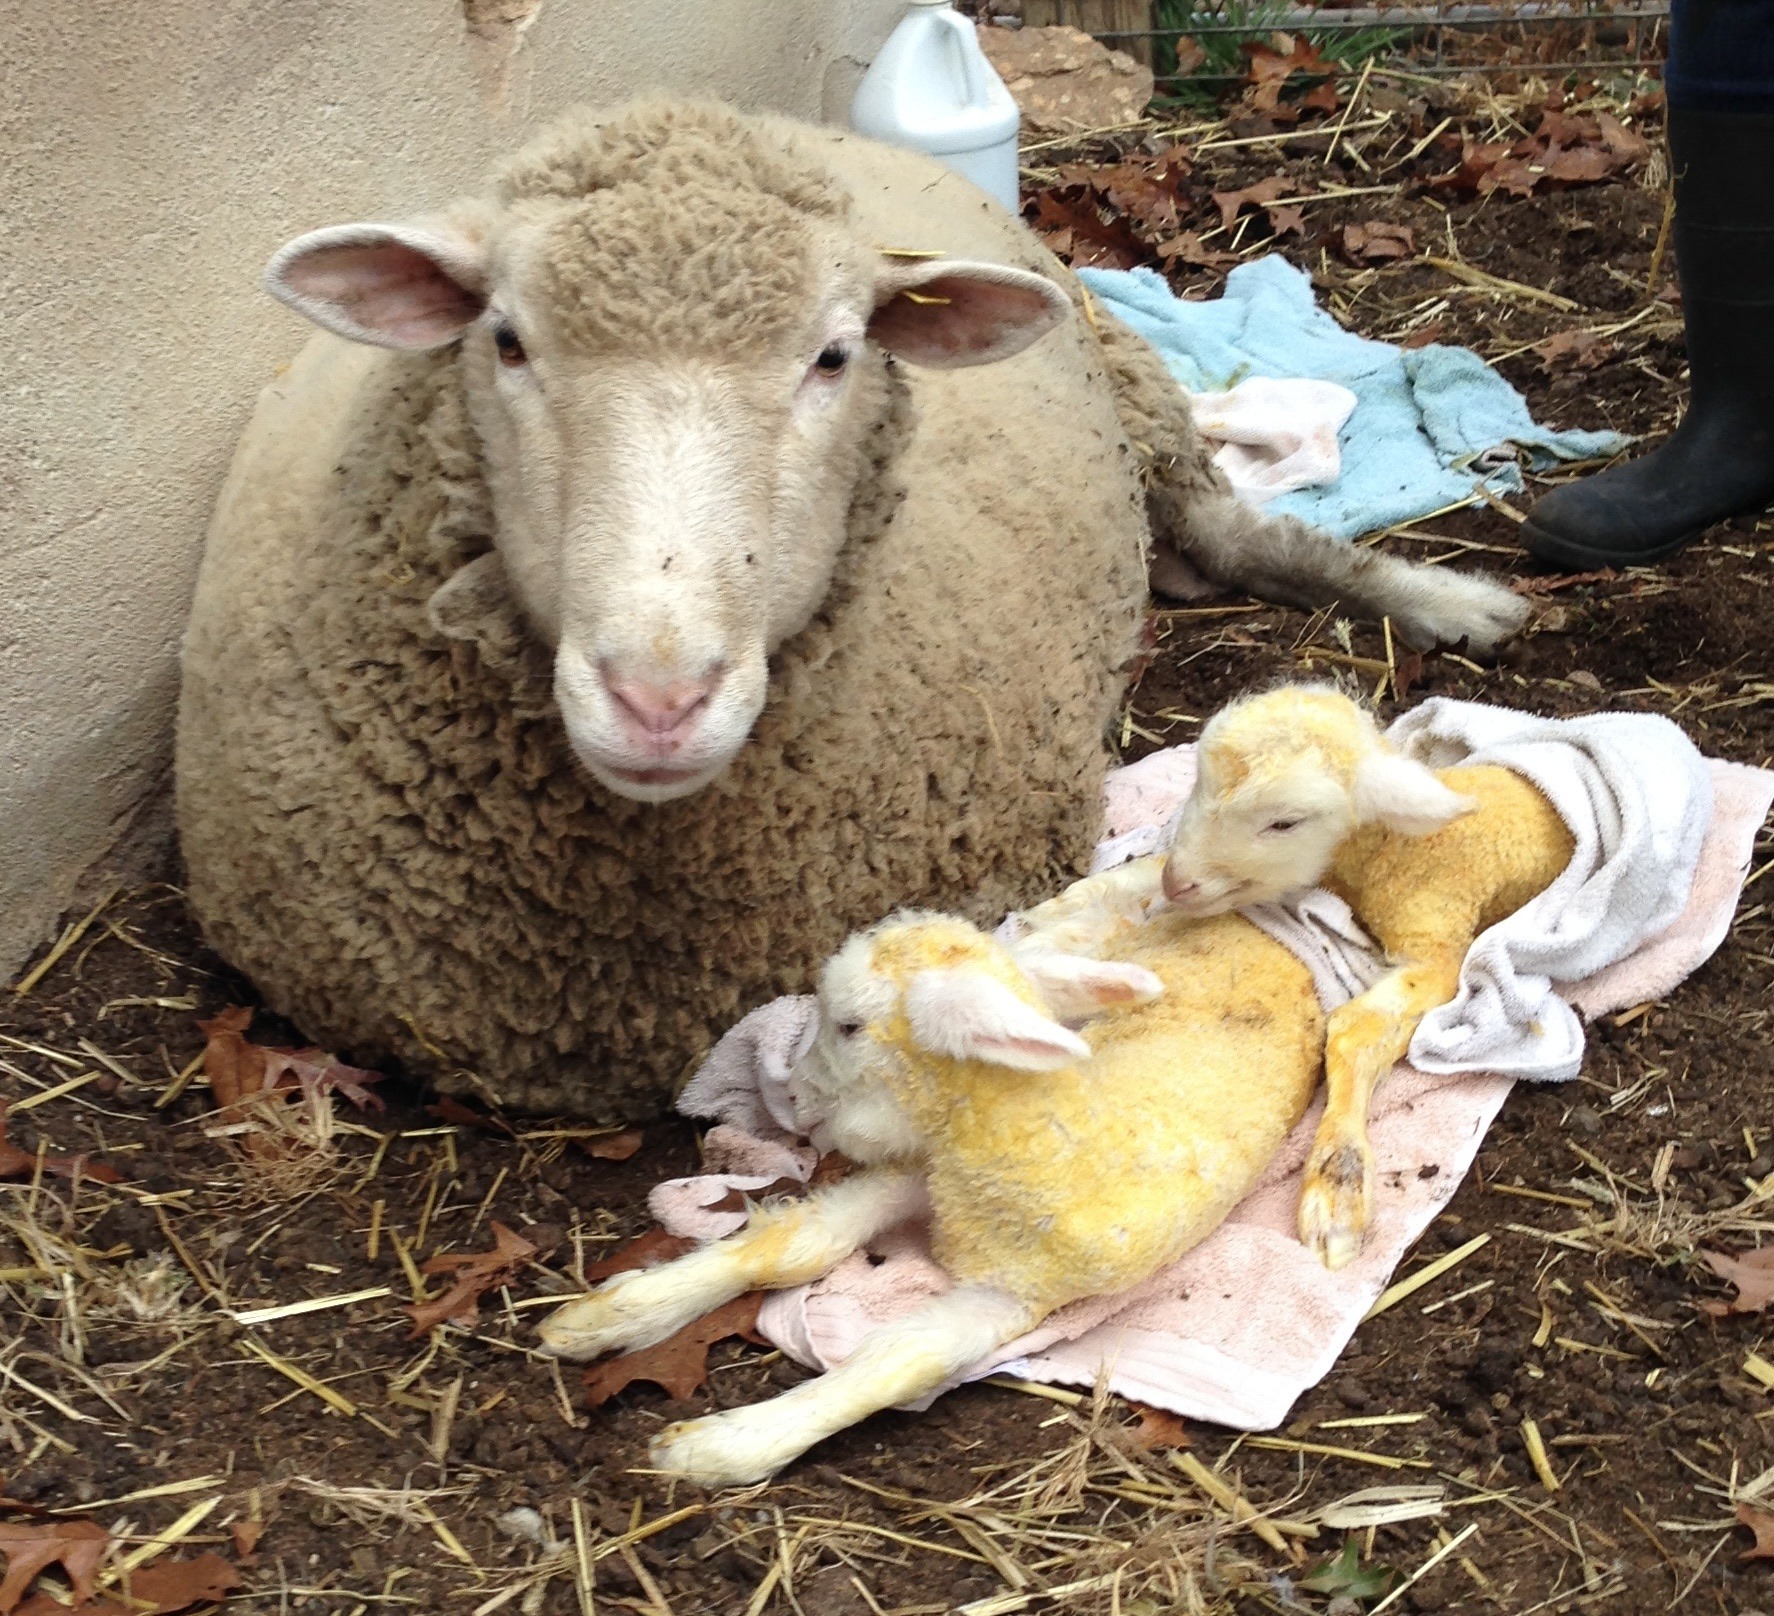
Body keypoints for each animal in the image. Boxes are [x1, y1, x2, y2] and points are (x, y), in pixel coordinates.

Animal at [177, 99, 1527, 1118]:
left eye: (832, 356)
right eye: (504, 340)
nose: (657, 699)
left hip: (1136, 395)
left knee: (1247, 532)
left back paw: (1453, 600)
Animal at [536, 903, 1324, 1486]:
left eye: (849, 1025)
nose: (793, 1096)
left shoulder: (1016, 1294)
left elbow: (896, 1363)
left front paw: (717, 1447)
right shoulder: (920, 1171)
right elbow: (797, 1244)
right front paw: (608, 1317)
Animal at [1160, 686, 1573, 1268]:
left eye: (1284, 823)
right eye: (1199, 782)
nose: (1175, 883)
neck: (1389, 848)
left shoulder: (1436, 942)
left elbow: (1355, 1031)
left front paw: (1337, 1190)